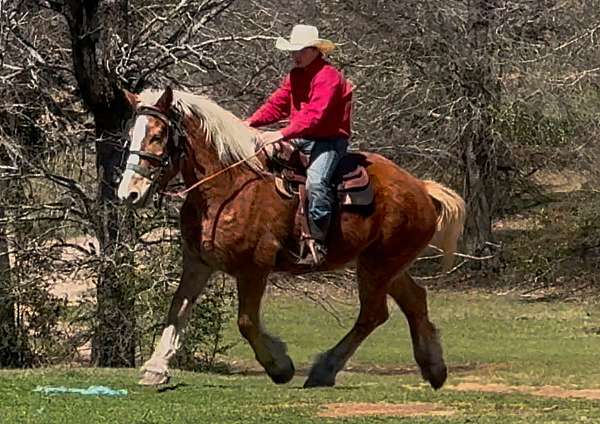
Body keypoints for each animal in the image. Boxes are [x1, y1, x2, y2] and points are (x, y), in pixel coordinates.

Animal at [116, 87, 464, 390]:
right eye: (130, 136)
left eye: (158, 135)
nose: (129, 193)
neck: (228, 186)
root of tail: (421, 189)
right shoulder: (198, 262)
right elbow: (177, 310)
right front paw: (155, 369)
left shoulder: (255, 267)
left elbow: (246, 322)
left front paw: (279, 365)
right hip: (384, 264)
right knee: (414, 300)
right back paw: (434, 368)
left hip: (376, 267)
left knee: (373, 314)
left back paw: (325, 369)